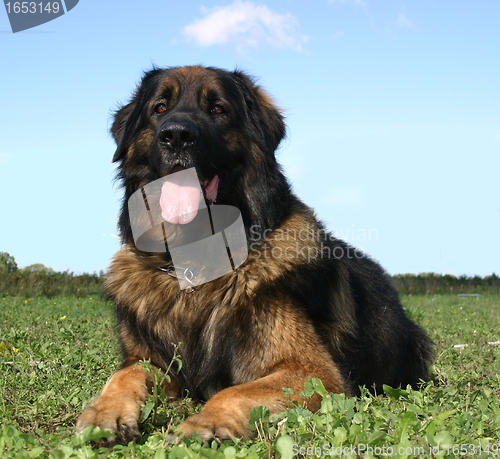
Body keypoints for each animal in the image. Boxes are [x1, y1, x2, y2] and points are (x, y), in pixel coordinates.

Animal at [75, 64, 434, 446]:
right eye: (159, 108)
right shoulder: (151, 362)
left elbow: (231, 391)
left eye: (218, 109)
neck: (196, 260)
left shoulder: (313, 371)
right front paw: (104, 413)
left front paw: (203, 424)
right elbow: (123, 376)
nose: (176, 136)